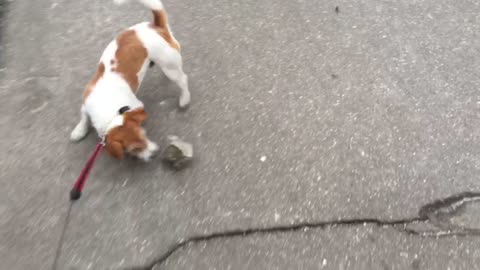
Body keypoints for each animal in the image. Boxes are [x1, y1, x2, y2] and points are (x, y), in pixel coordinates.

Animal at [69, 0, 189, 161]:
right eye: (135, 149)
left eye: (145, 135)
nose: (155, 153)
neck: (109, 107)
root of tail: (156, 26)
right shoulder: (86, 102)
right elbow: (83, 117)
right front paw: (79, 131)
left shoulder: (136, 105)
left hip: (170, 67)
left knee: (183, 80)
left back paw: (185, 98)